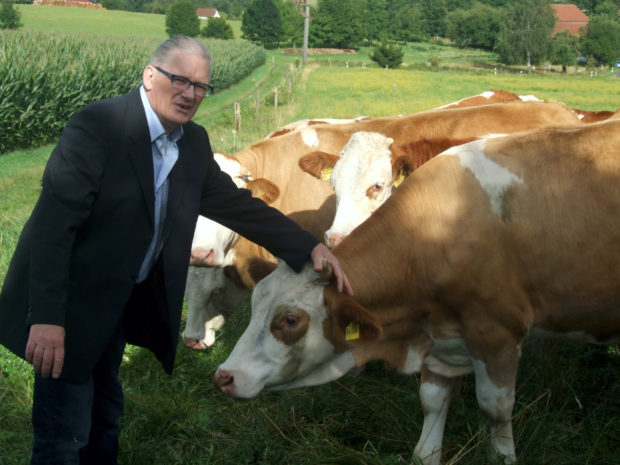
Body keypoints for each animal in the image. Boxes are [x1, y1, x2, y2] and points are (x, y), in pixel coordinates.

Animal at [214, 120, 620, 464]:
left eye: (289, 320)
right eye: (254, 306)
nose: (224, 376)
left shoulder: (496, 335)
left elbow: (495, 409)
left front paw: (503, 455)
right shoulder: (438, 337)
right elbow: (432, 403)